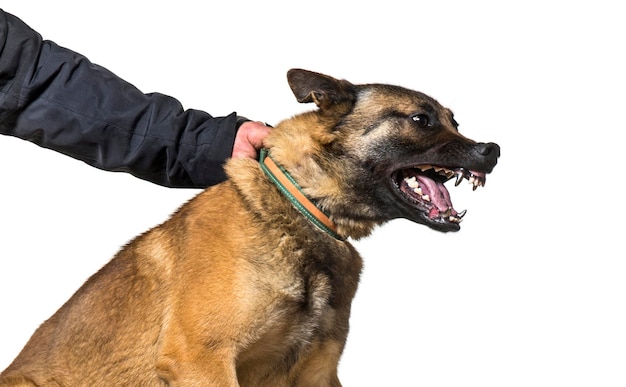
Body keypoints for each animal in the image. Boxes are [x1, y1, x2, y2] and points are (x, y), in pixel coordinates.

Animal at [0, 70, 498, 387]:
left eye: (455, 120)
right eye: (420, 120)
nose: (492, 151)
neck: (300, 211)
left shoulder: (318, 372)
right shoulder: (202, 359)